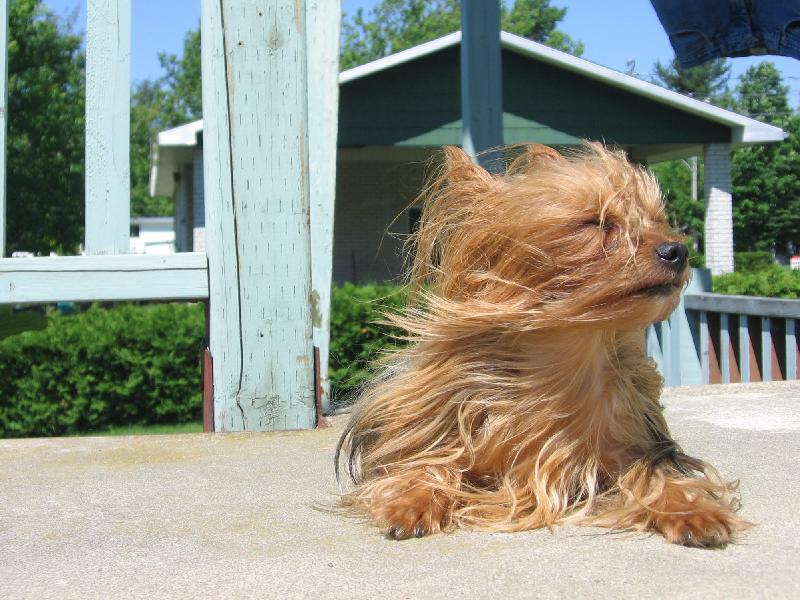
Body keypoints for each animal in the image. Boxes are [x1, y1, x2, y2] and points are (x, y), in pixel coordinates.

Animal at [336, 143, 752, 548]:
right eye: (595, 223)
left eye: (657, 220)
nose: (677, 251)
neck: (564, 364)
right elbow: (427, 467)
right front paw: (411, 502)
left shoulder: (636, 448)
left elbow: (658, 477)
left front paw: (692, 510)